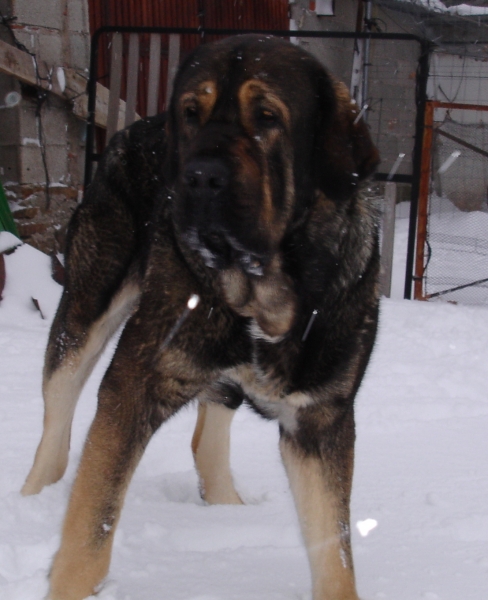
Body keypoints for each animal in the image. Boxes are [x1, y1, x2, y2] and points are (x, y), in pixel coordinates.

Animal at [21, 34, 382, 600]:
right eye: (192, 113)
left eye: (267, 117)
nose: (197, 177)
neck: (262, 293)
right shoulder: (133, 385)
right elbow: (90, 526)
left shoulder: (321, 420)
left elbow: (335, 554)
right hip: (85, 310)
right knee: (55, 429)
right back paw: (30, 500)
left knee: (206, 436)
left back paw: (228, 513)